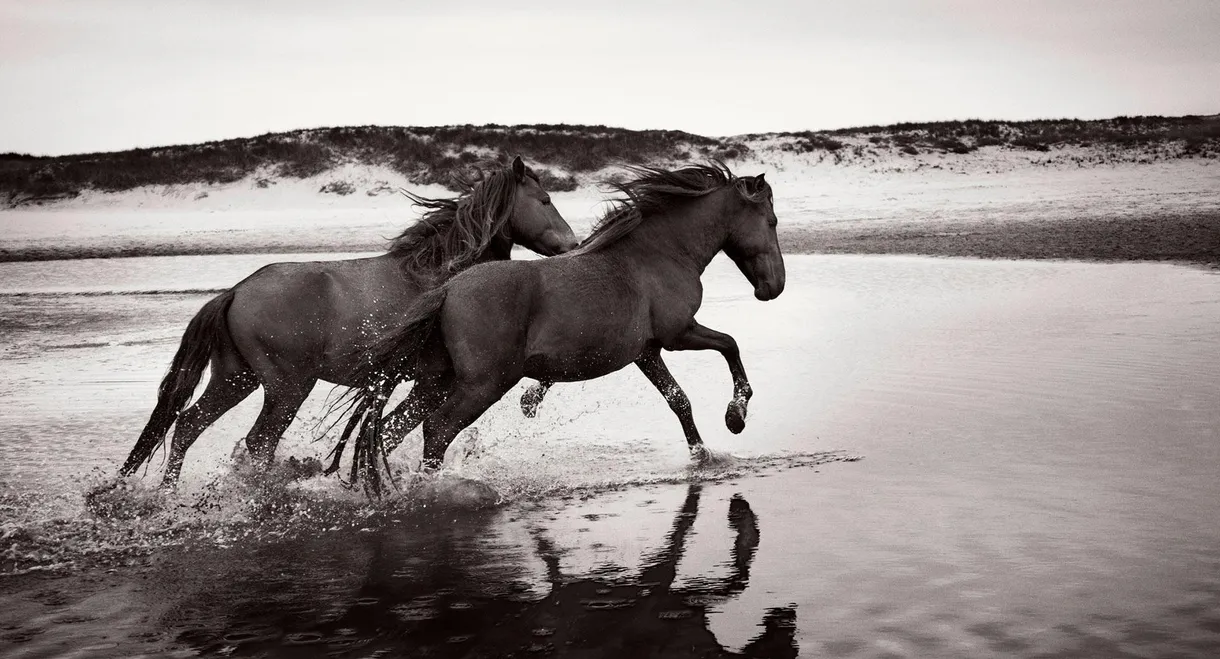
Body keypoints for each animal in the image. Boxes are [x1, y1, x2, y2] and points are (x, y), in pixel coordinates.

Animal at [119, 156, 578, 486]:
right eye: (545, 200)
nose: (572, 244)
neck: (439, 277)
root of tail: (236, 291)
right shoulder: (442, 378)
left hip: (235, 378)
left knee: (187, 426)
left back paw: (169, 493)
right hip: (286, 387)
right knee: (258, 441)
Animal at [339, 162, 784, 490]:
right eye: (773, 221)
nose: (774, 287)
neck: (658, 254)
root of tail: (447, 290)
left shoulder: (647, 351)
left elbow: (679, 400)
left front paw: (703, 456)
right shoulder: (679, 334)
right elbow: (730, 345)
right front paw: (736, 415)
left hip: (436, 381)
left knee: (390, 429)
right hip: (483, 383)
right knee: (436, 429)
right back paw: (434, 487)